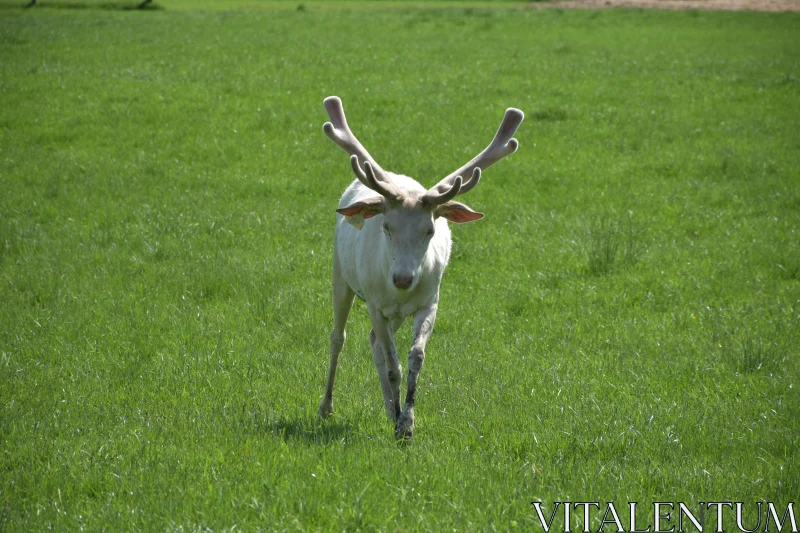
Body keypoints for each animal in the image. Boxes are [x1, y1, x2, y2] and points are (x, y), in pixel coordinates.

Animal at [318, 95, 524, 436]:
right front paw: (400, 423)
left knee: (373, 340)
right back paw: (326, 407)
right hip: (339, 272)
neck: (398, 294)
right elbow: (393, 365)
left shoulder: (430, 301)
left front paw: (405, 422)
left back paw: (389, 409)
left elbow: (415, 357)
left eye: (429, 230)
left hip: (396, 312)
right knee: (339, 337)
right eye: (387, 226)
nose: (402, 278)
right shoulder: (374, 304)